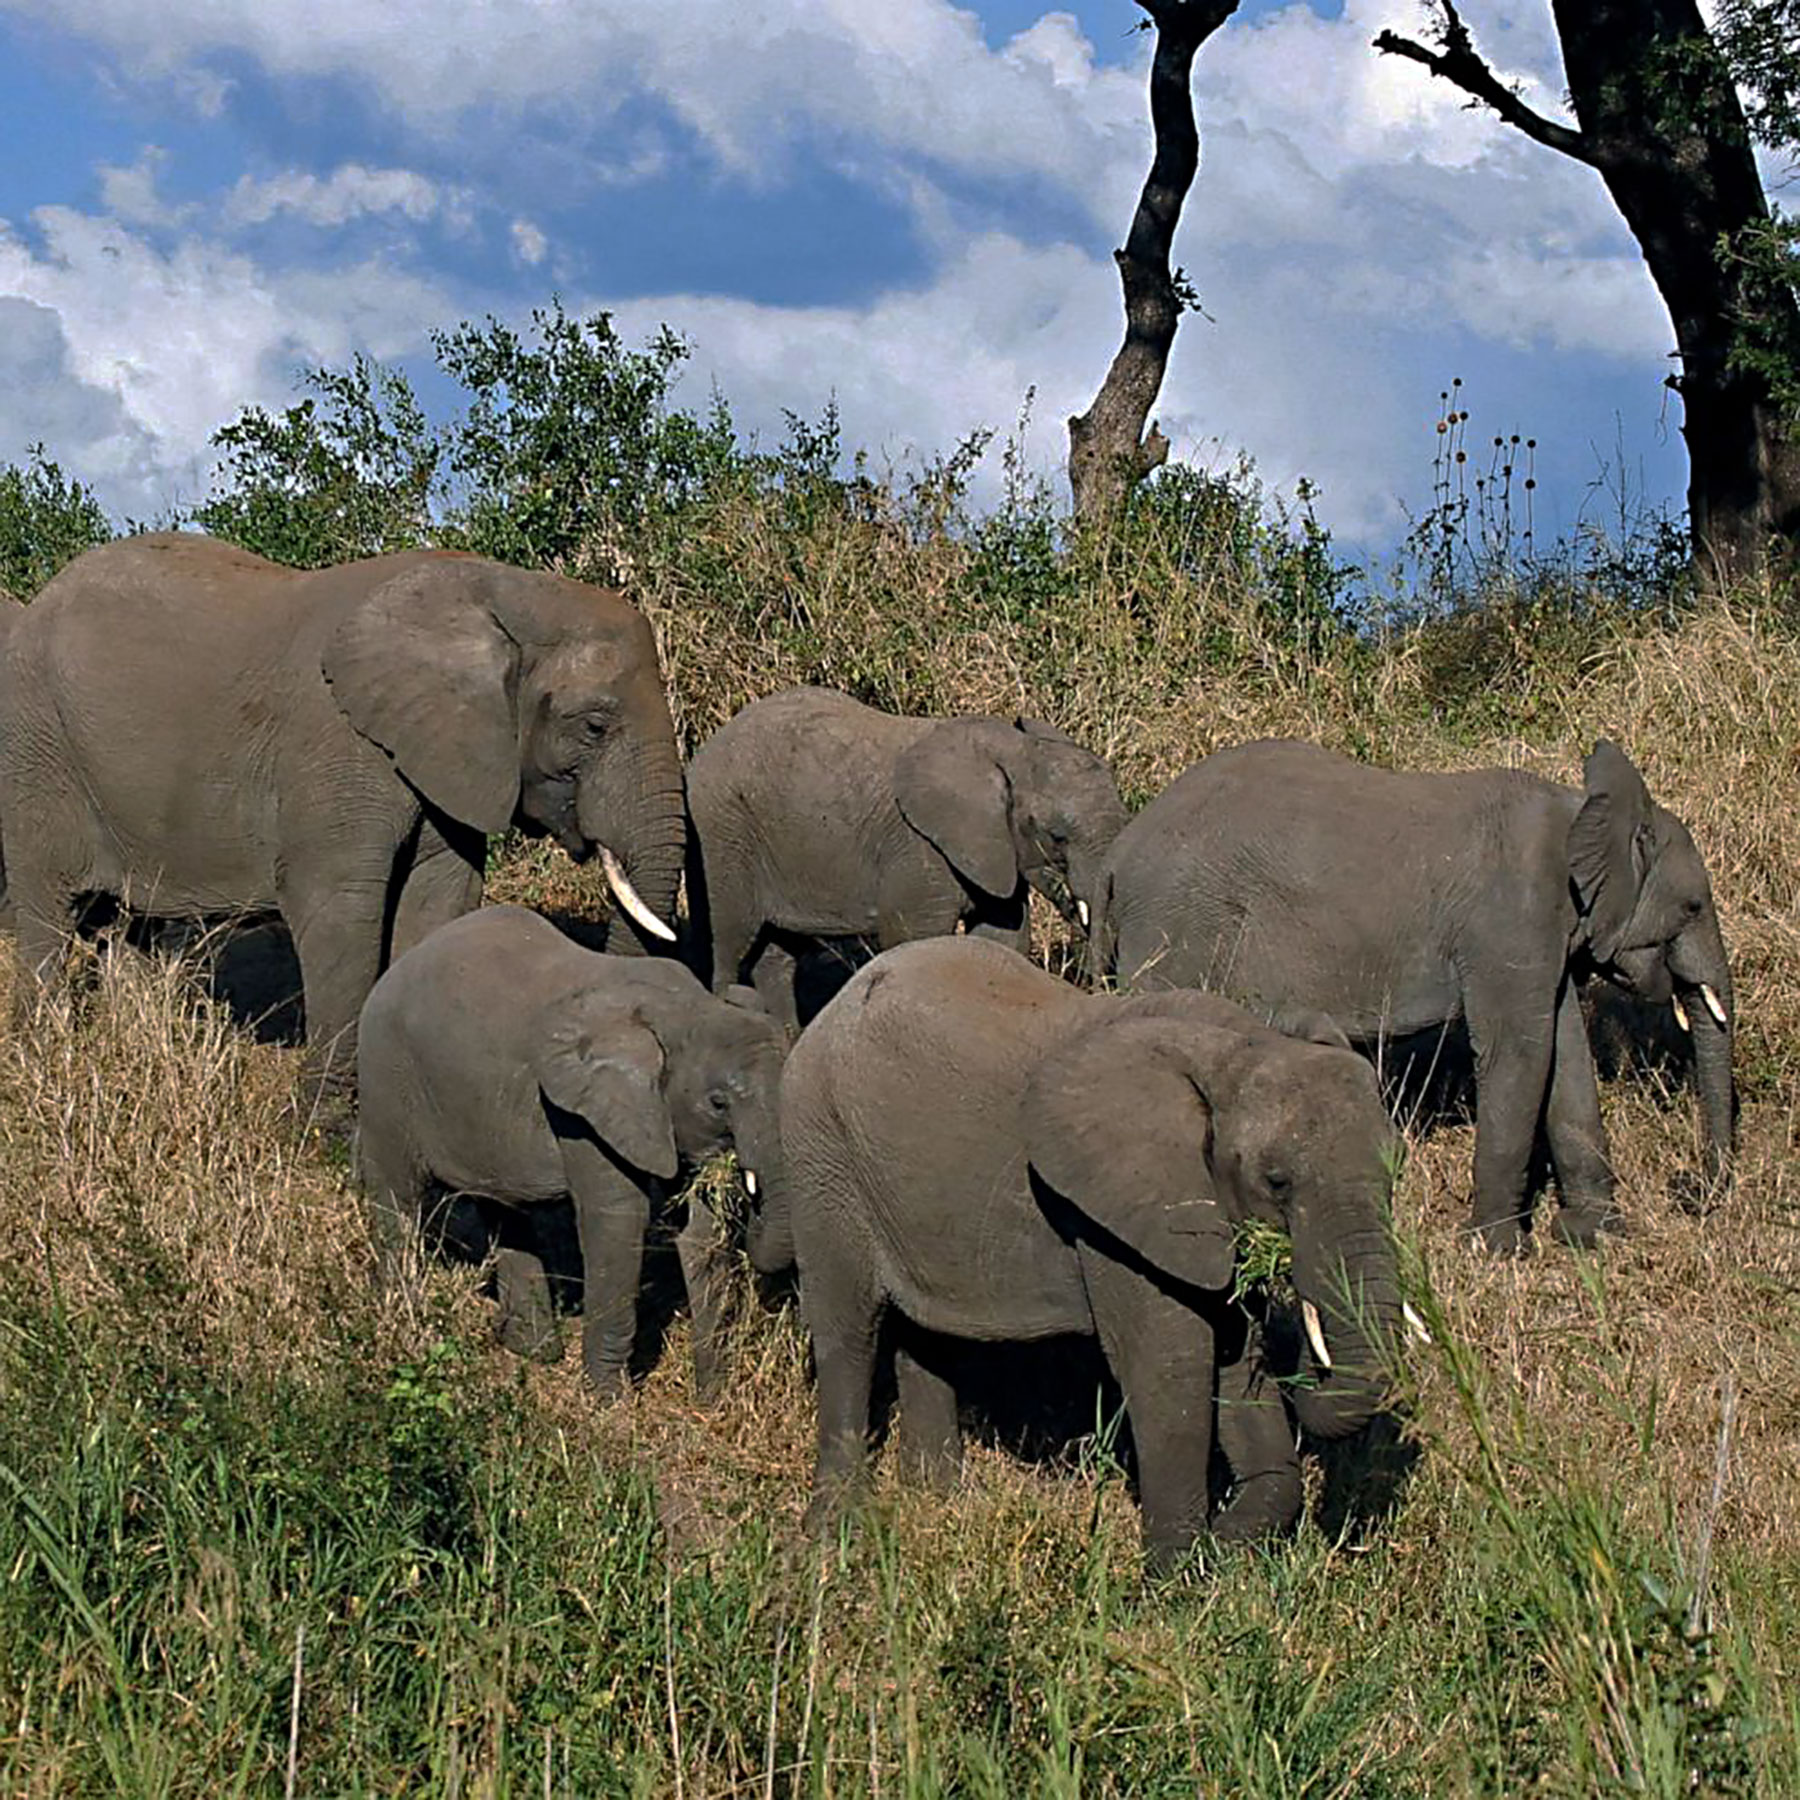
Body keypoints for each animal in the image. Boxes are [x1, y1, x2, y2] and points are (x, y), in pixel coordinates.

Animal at [0, 534, 685, 1074]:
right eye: (593, 726)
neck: (500, 590)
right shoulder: (337, 744)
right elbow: (339, 906)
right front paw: (322, 1127)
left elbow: (438, 898)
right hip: (37, 752)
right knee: (49, 914)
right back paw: (48, 1059)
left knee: (126, 927)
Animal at [357, 904, 789, 1399]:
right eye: (719, 1102)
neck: (686, 1010)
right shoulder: (581, 1112)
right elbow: (618, 1218)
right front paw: (609, 1401)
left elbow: (701, 1228)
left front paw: (712, 1395)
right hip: (386, 1075)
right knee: (398, 1197)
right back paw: (401, 1322)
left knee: (507, 1212)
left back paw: (532, 1350)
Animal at [685, 687, 1127, 1028]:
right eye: (1057, 836)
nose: (1093, 983)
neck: (1015, 752)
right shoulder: (918, 846)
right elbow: (916, 936)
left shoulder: (992, 849)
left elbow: (1002, 936)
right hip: (720, 833)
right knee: (729, 940)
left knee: (776, 957)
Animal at [779, 935, 1402, 1573]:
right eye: (1277, 1182)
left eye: (1395, 1171)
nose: (1313, 1354)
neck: (1237, 1047)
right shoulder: (1113, 1214)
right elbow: (1171, 1364)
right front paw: (1175, 1577)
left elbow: (1233, 1347)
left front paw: (1225, 1543)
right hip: (821, 1151)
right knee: (848, 1333)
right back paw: (834, 1533)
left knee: (925, 1332)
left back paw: (935, 1499)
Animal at [1093, 738, 1735, 1253]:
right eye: (1693, 907)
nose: (1688, 1188)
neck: (1579, 812)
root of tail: (1115, 858)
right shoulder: (1510, 922)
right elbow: (1521, 1056)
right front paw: (1497, 1252)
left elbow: (1565, 1057)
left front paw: (1594, 1238)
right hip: (1177, 929)